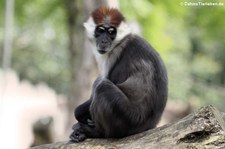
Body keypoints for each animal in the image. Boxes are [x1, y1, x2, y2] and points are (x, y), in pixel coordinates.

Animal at [69, 6, 168, 143]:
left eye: (111, 32)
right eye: (100, 30)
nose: (104, 41)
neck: (120, 41)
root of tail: (150, 125)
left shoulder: (115, 53)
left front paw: (79, 113)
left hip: (128, 118)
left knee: (102, 86)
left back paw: (97, 132)